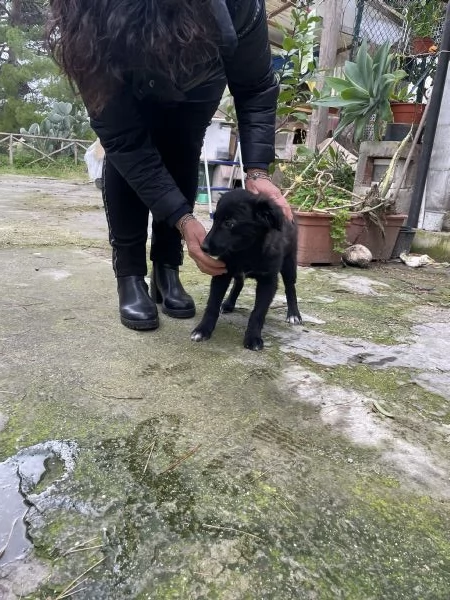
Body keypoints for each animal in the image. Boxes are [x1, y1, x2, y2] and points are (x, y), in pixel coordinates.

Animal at [191, 191, 302, 352]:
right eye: (214, 219)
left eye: (229, 223)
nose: (203, 247)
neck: (246, 251)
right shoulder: (222, 273)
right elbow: (212, 305)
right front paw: (203, 329)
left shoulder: (268, 281)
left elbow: (258, 312)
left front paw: (253, 337)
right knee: (239, 283)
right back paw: (228, 303)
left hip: (289, 262)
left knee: (290, 287)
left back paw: (294, 314)